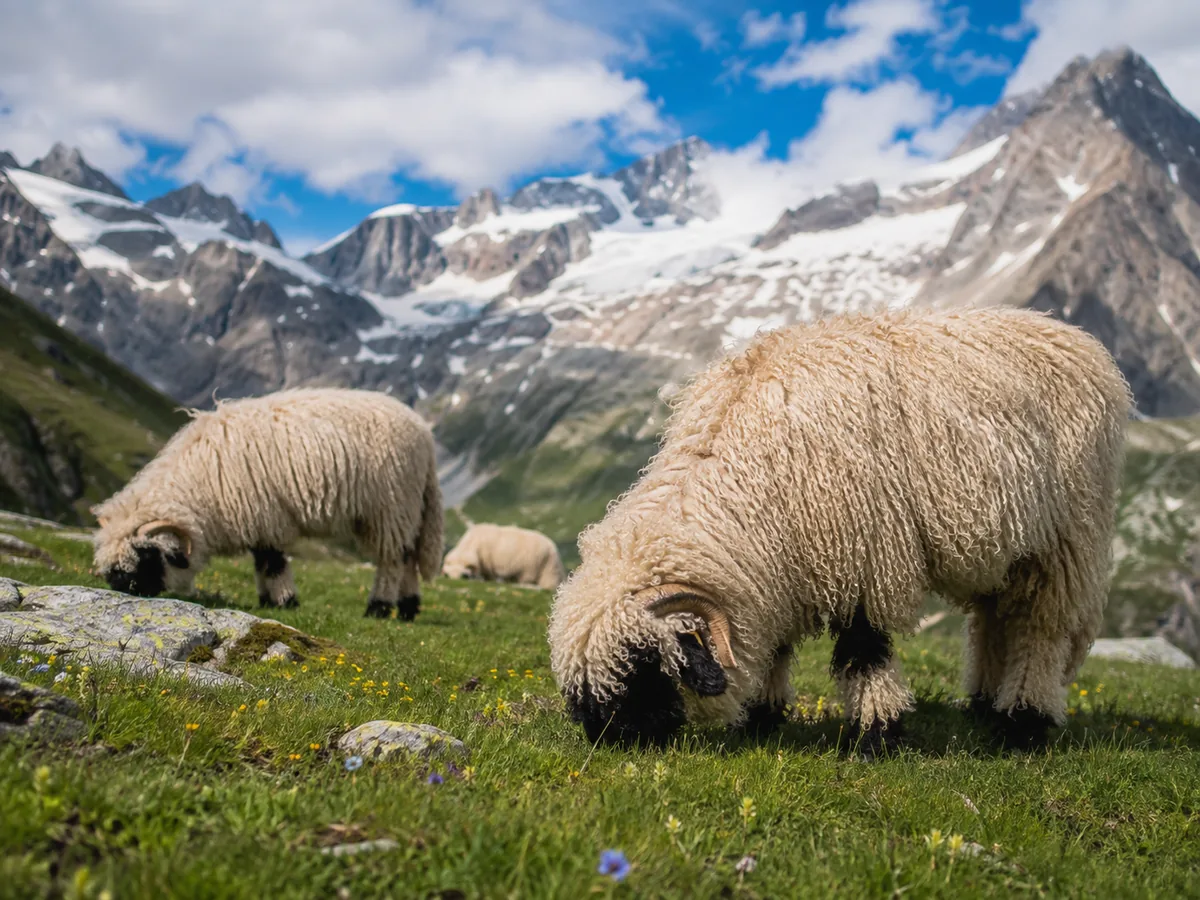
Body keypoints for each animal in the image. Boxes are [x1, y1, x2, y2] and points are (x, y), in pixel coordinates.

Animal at [91, 387, 444, 622]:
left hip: (391, 505)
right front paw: (266, 601)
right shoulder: (255, 522)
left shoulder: (265, 515)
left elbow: (273, 563)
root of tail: (424, 434)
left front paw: (286, 601)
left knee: (392, 559)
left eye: (146, 555)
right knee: (409, 556)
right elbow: (260, 563)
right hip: (406, 508)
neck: (201, 486)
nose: (121, 587)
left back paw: (379, 607)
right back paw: (408, 608)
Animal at [547, 306, 1132, 754]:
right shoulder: (782, 560)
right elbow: (777, 644)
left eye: (642, 664)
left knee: (1040, 627)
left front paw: (876, 736)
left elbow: (865, 651)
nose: (608, 740)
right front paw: (761, 716)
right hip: (1006, 548)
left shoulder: (865, 556)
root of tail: (1072, 336)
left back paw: (1023, 722)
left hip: (1065, 538)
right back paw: (984, 705)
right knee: (993, 621)